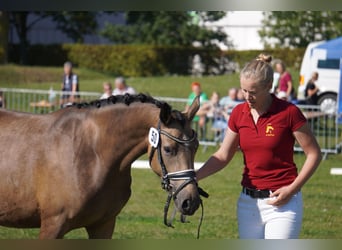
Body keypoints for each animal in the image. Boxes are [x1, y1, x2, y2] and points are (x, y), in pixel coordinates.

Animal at [0, 94, 202, 238]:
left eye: (196, 146)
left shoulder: (103, 225)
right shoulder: (53, 224)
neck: (92, 154)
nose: (190, 202)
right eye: (168, 149)